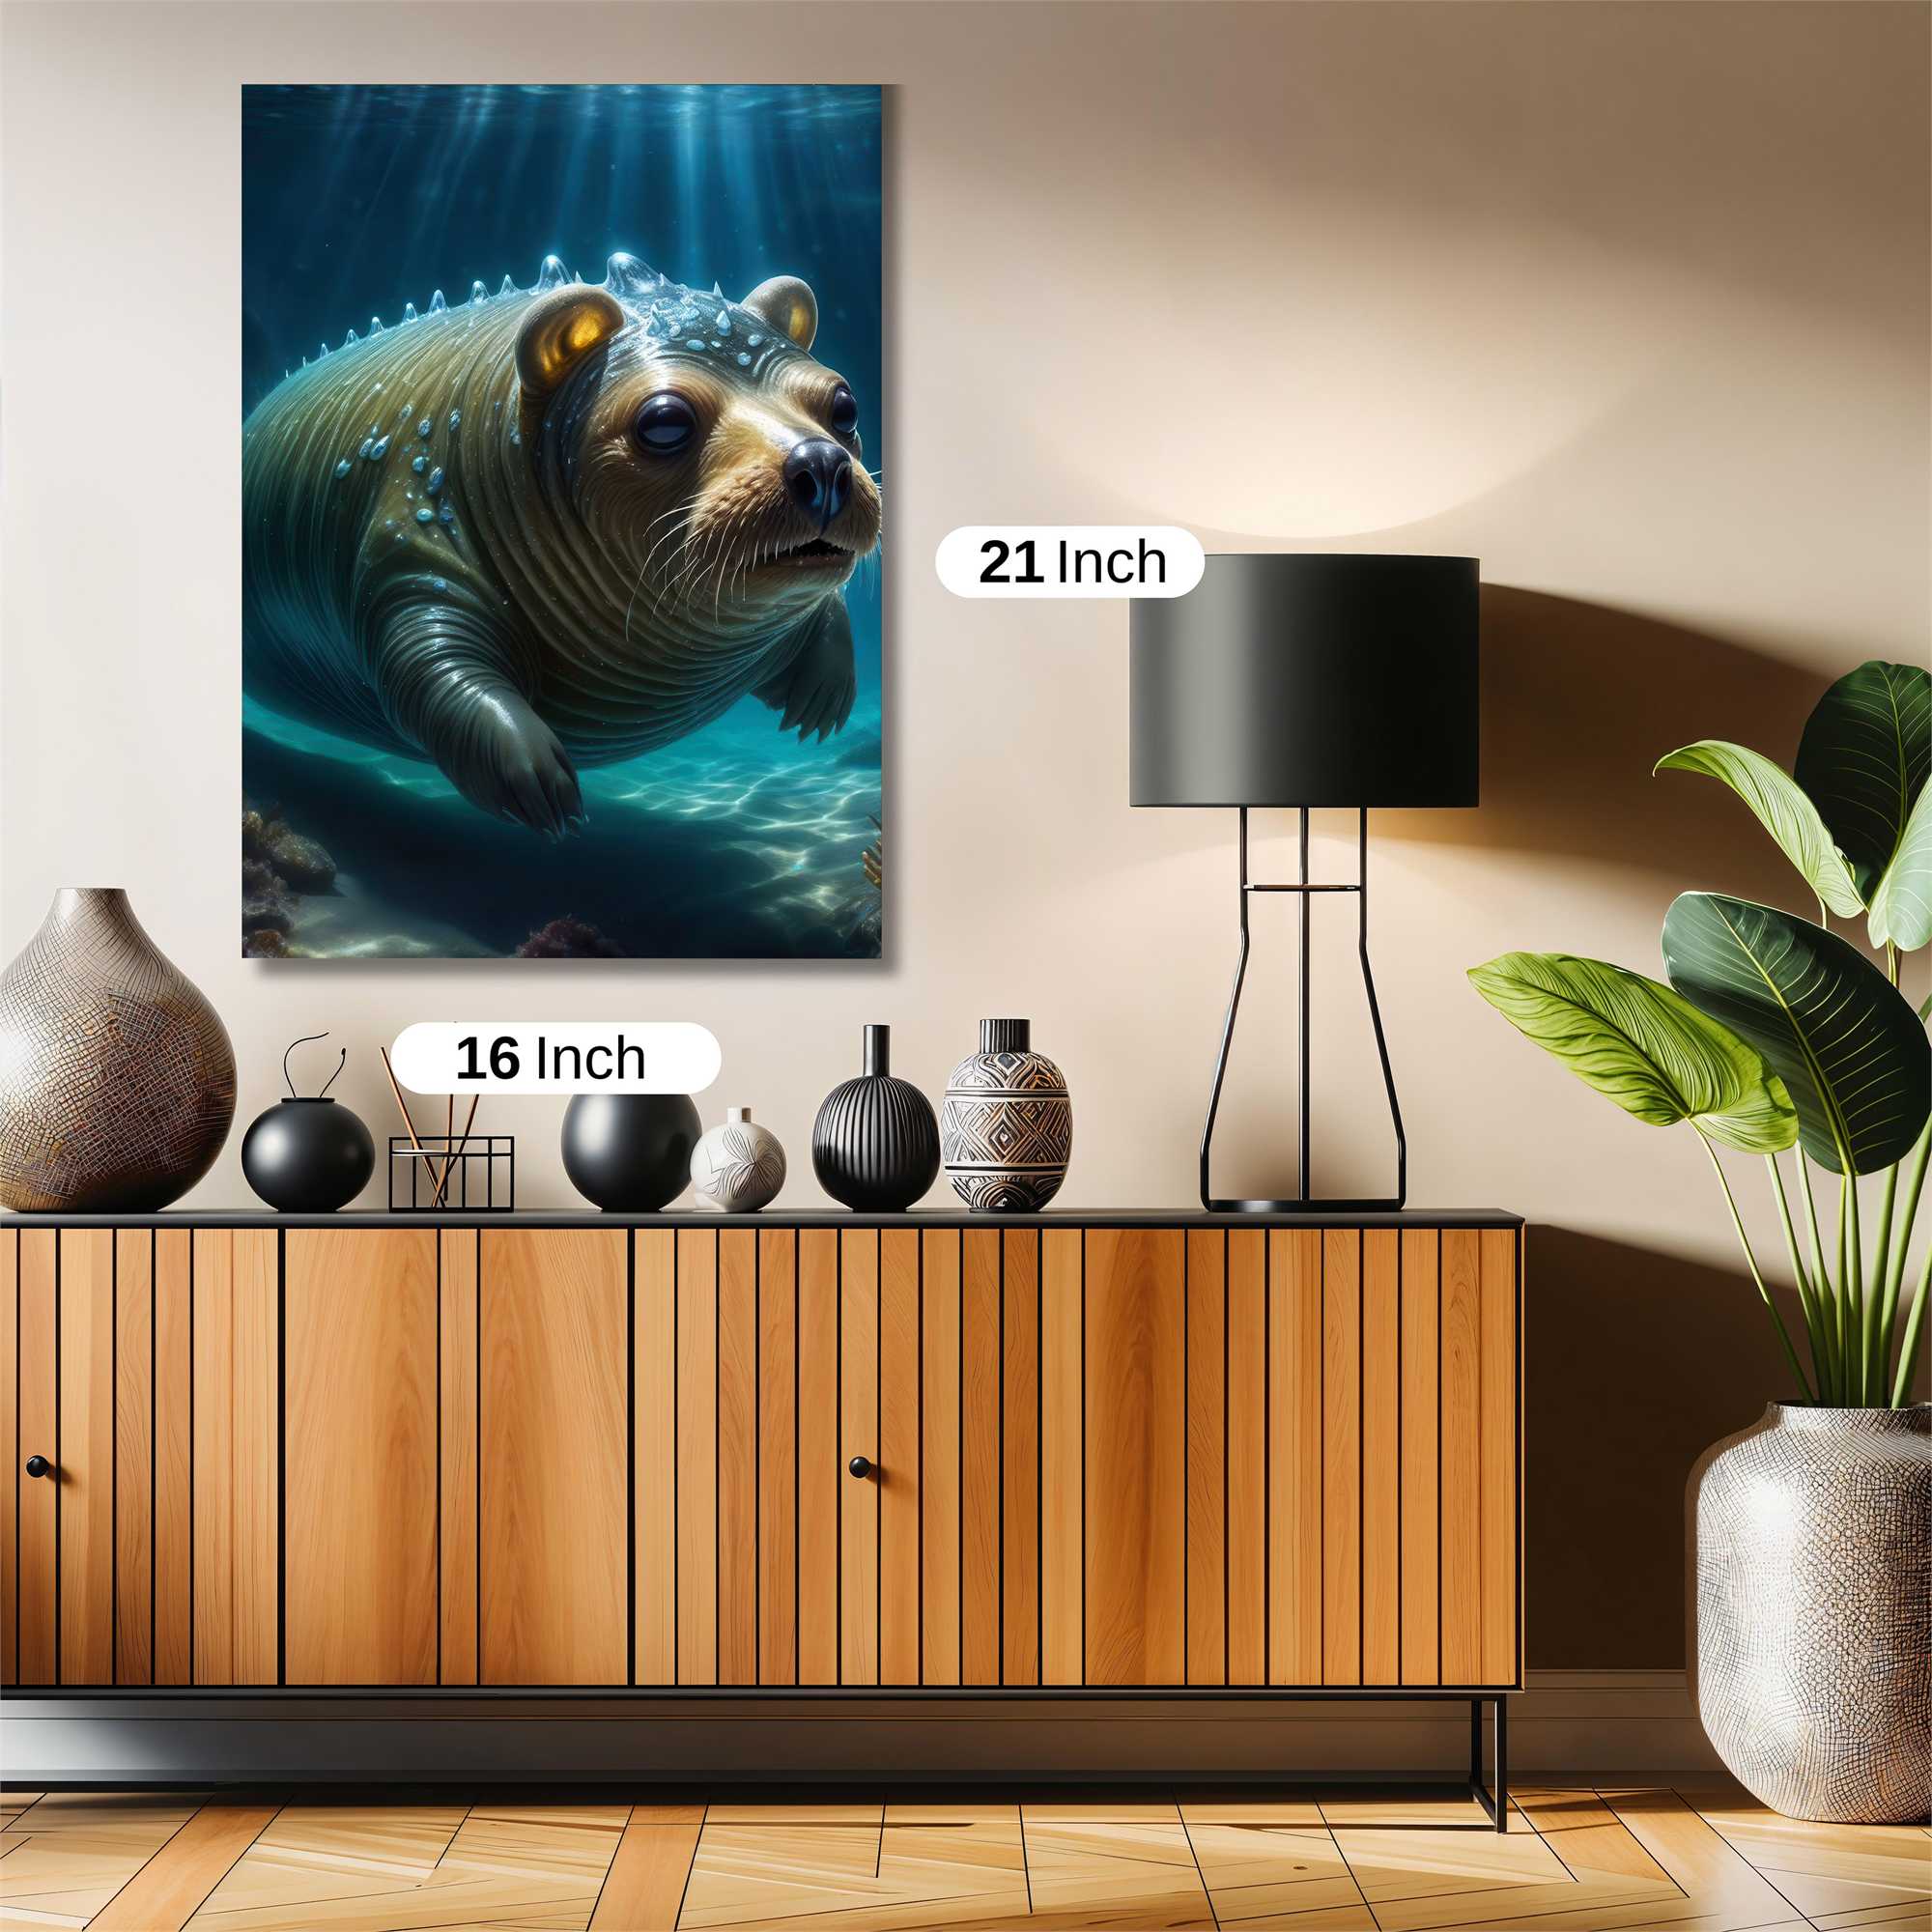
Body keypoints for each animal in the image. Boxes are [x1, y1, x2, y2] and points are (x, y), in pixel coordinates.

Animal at [241, 253, 881, 836]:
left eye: (844, 405)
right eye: (664, 421)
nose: (822, 462)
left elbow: (828, 608)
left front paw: (819, 705)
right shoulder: (410, 541)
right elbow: (432, 670)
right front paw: (540, 783)